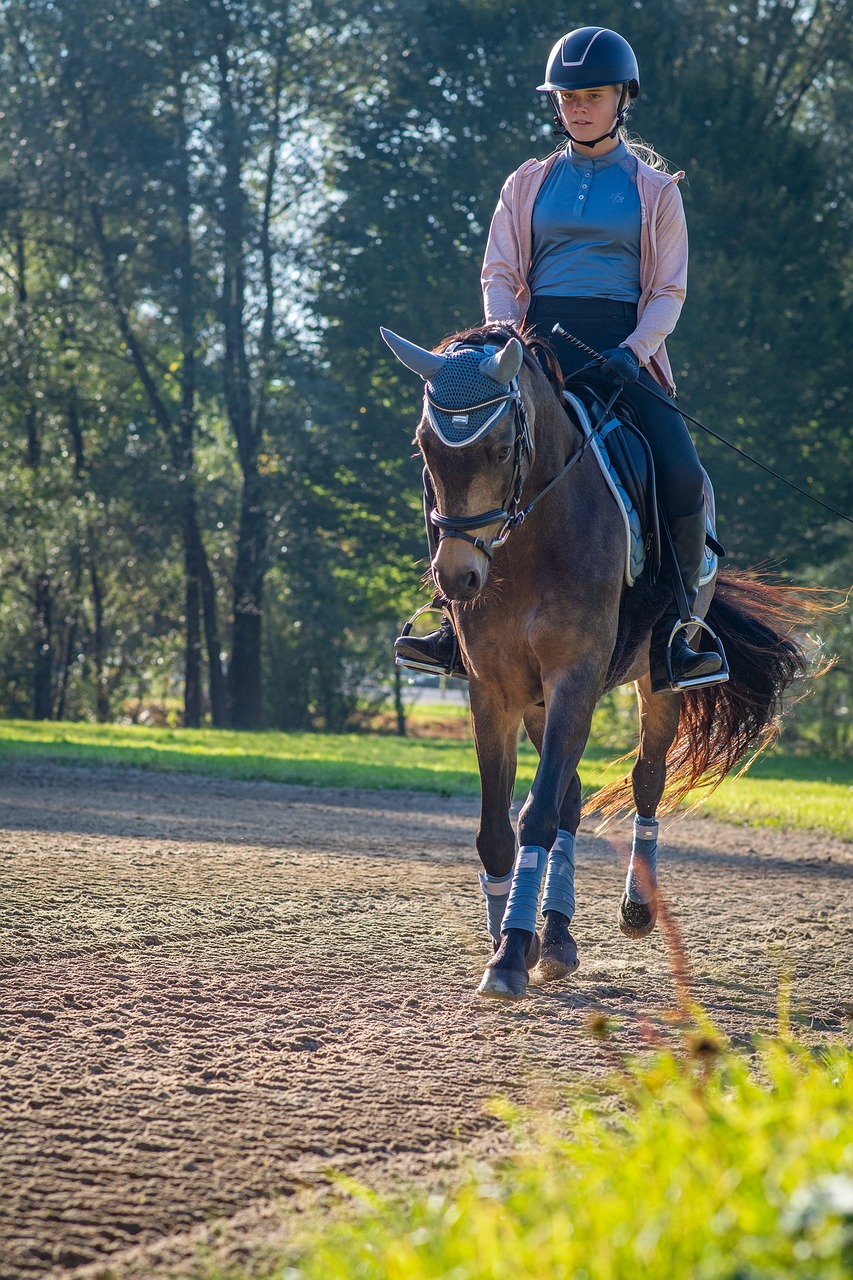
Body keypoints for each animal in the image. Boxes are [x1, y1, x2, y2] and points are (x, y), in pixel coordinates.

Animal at [382, 321, 813, 1001]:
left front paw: (511, 955)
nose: (458, 578)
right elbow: (498, 828)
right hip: (537, 700)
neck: (528, 544)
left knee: (644, 781)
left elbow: (534, 816)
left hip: (654, 683)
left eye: (500, 449)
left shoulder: (575, 677)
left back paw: (634, 907)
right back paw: (555, 935)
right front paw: (510, 938)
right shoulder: (493, 690)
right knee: (572, 796)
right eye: (425, 447)